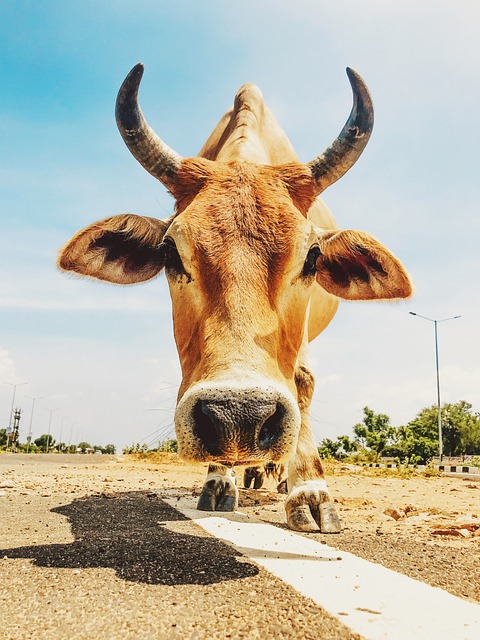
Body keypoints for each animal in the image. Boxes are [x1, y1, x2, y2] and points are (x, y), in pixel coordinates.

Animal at [59, 66, 412, 536]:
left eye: (312, 256)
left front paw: (310, 492)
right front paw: (219, 479)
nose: (240, 415)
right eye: (170, 251)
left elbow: (302, 383)